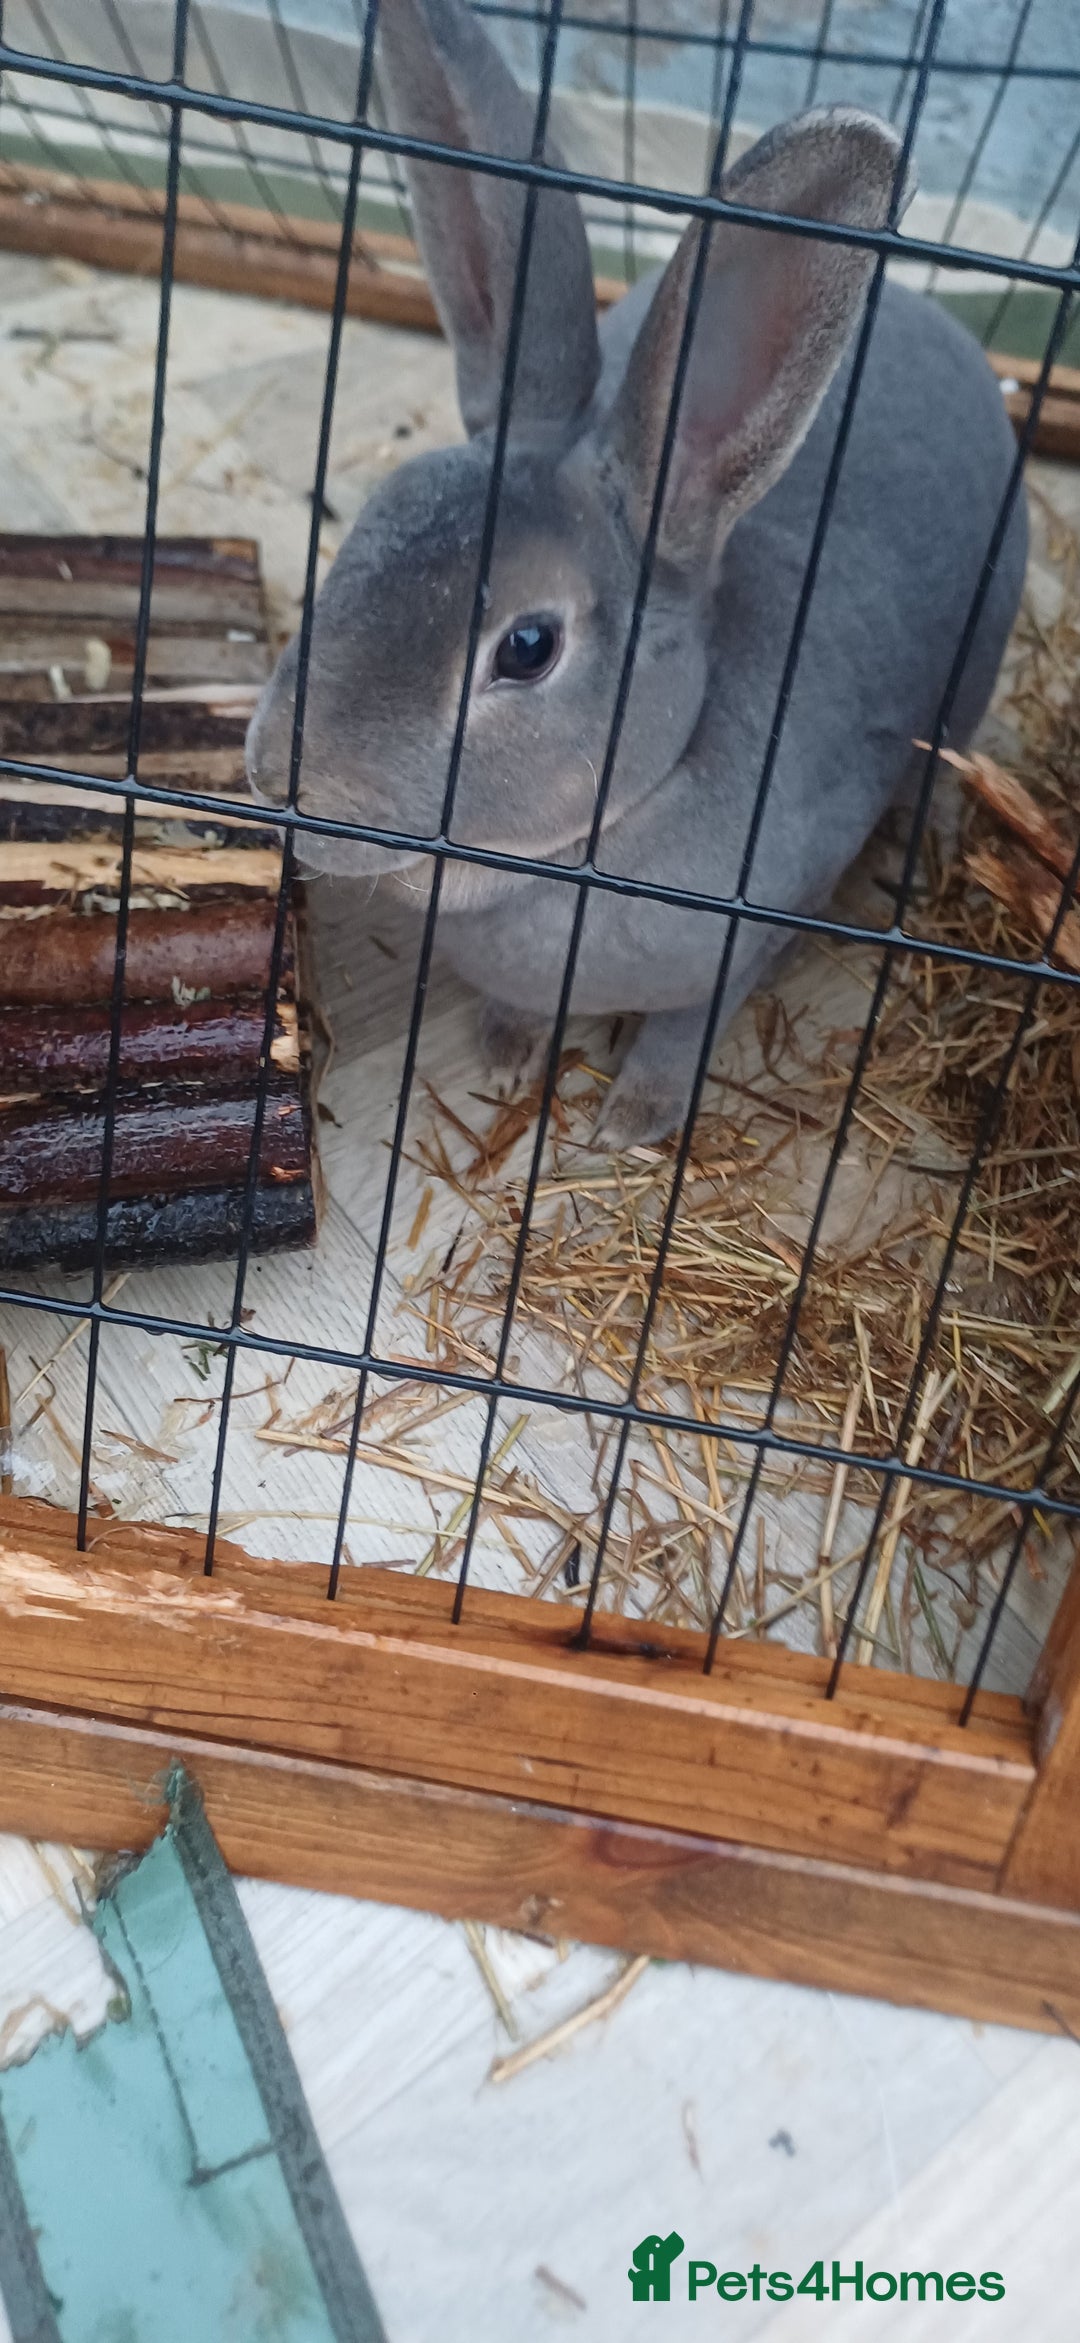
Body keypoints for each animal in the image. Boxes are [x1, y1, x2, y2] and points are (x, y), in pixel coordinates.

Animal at [247, 0, 1027, 1149]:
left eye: (528, 648)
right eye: (370, 525)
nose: (280, 775)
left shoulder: (744, 942)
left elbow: (685, 1031)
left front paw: (632, 1120)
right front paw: (506, 1048)